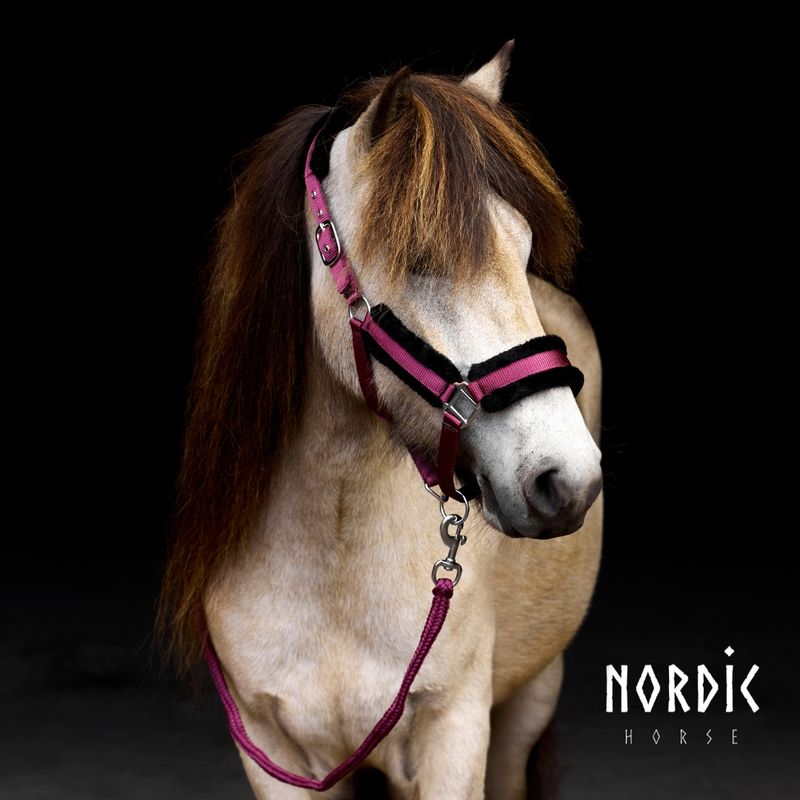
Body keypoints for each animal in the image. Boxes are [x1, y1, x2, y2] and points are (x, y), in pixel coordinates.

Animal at [159, 42, 603, 800]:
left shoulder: (454, 733)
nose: (566, 478)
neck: (330, 566)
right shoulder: (272, 749)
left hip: (532, 695)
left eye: (521, 250)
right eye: (419, 255)